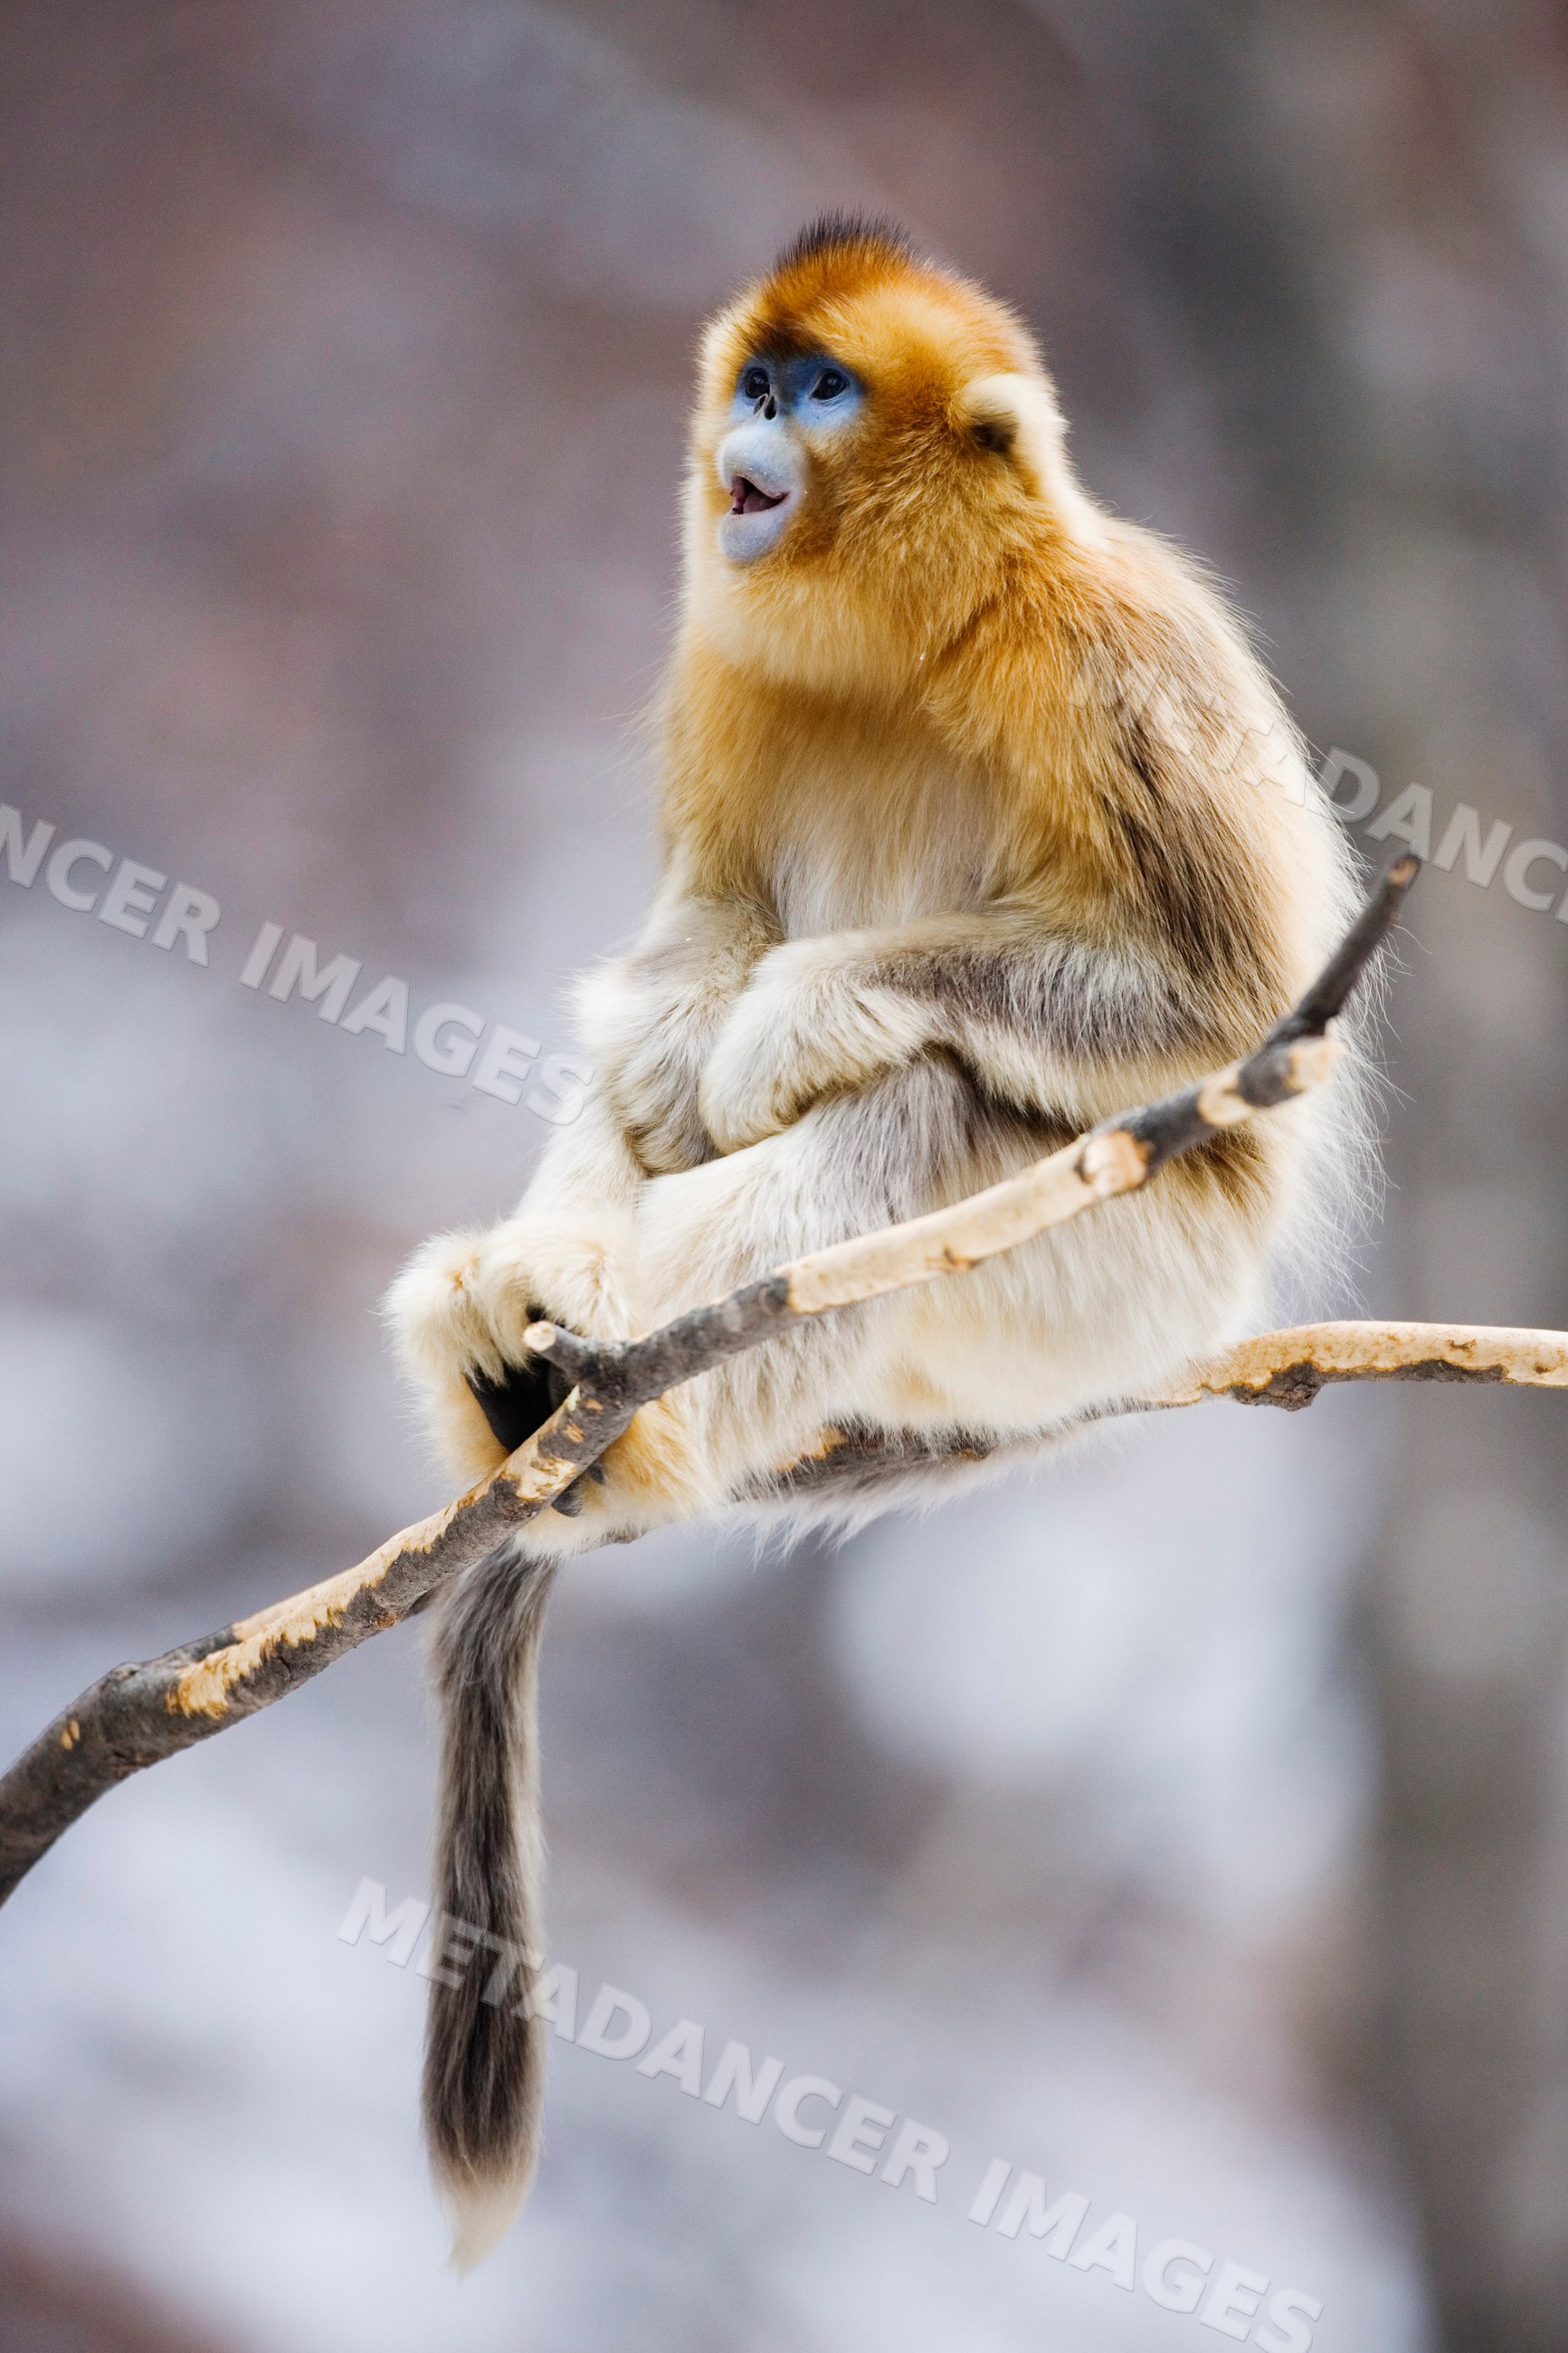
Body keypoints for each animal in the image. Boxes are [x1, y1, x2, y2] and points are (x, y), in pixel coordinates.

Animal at [384, 213, 1365, 2265]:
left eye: (817, 389)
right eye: (754, 379)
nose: (747, 429)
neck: (923, 638)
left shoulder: (1118, 664)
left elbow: (1205, 1003)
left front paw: (792, 1021)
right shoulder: (719, 670)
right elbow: (681, 961)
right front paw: (690, 1041)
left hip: (1103, 1282)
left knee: (918, 1108)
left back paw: (627, 1403)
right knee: (640, 1090)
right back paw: (523, 1359)